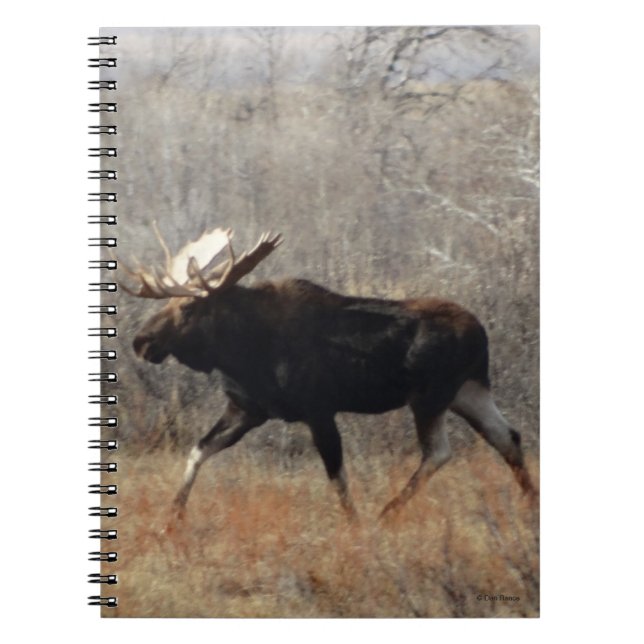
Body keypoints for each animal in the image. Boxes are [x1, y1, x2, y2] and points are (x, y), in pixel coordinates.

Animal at [118, 226, 536, 522]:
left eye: (188, 309)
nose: (141, 341)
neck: (241, 351)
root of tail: (480, 332)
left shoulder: (318, 410)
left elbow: (338, 478)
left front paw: (355, 526)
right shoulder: (247, 409)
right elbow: (198, 451)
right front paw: (171, 519)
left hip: (431, 397)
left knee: (439, 452)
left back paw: (387, 512)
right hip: (470, 390)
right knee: (508, 437)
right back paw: (531, 504)